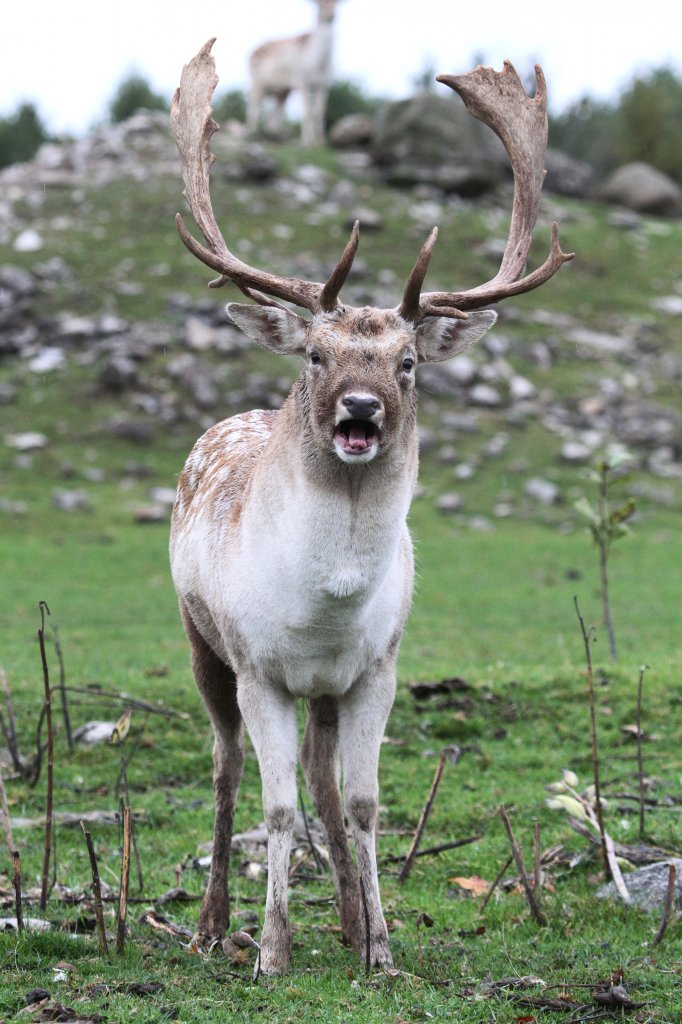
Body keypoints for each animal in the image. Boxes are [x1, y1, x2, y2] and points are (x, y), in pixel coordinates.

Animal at [169, 36, 573, 970]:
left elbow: (361, 805)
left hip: (324, 692)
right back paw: (209, 926)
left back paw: (349, 923)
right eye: (317, 354)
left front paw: (382, 950)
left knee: (322, 779)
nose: (361, 411)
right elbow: (275, 807)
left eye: (409, 362)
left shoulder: (377, 669)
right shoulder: (260, 668)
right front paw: (273, 952)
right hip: (202, 644)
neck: (326, 608)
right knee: (225, 767)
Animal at [245, 0, 337, 144]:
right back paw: (252, 131)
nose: (332, 14)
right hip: (257, 83)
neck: (319, 63)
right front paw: (307, 140)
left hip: (282, 91)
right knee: (254, 103)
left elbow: (320, 111)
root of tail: (251, 54)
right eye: (320, 5)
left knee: (275, 110)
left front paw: (320, 141)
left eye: (337, 4)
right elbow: (307, 111)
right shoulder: (302, 81)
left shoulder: (324, 84)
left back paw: (273, 132)